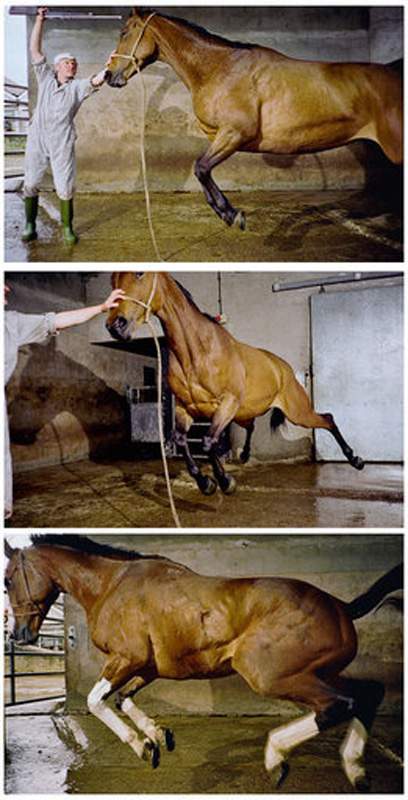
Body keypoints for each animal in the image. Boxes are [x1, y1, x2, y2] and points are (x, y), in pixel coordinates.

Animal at [4, 534, 402, 790]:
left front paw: (141, 746)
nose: (20, 636)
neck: (111, 585)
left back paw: (276, 758)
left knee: (338, 705)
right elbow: (121, 699)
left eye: (7, 580)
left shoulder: (127, 658)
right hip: (319, 671)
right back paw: (356, 770)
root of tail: (341, 606)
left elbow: (94, 700)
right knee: (368, 694)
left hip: (271, 674)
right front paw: (158, 737)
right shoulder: (146, 668)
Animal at [105, 8, 403, 229]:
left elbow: (200, 167)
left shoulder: (235, 134)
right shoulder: (223, 136)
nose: (109, 75)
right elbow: (201, 169)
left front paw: (230, 213)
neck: (221, 68)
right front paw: (226, 213)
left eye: (124, 32)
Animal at [106, 271, 364, 497]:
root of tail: (284, 369)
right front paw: (207, 483)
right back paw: (244, 456)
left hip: (297, 412)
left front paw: (224, 481)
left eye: (140, 273)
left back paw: (356, 460)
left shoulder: (226, 403)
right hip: (244, 413)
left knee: (327, 419)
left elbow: (208, 442)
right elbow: (183, 440)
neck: (197, 352)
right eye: (112, 278)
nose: (115, 325)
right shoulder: (185, 408)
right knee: (251, 426)